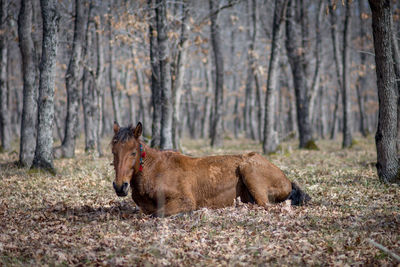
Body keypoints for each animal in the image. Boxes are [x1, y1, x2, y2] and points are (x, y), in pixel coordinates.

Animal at [111, 122, 310, 217]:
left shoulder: (185, 200)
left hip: (249, 171)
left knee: (265, 206)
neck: (154, 171)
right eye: (113, 151)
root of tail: (287, 181)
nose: (120, 186)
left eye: (133, 152)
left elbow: (158, 214)